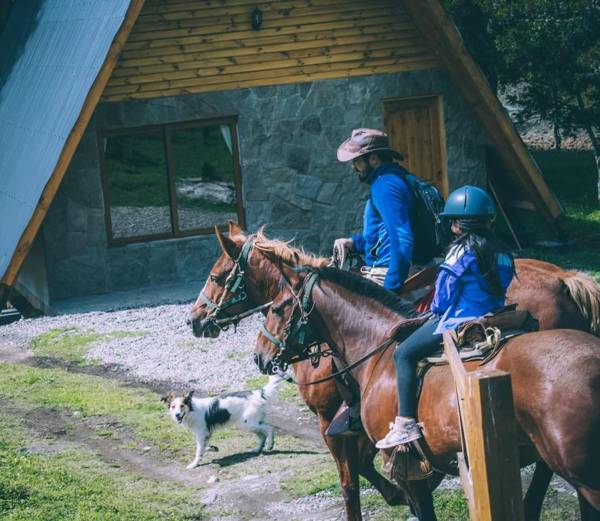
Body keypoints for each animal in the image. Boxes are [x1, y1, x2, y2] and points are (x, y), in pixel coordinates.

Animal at [189, 224, 600, 520]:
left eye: (217, 276)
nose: (194, 320)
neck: (375, 345)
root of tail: (565, 278)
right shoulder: (355, 427)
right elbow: (365, 468)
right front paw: (397, 494)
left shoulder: (330, 422)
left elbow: (351, 481)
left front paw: (393, 494)